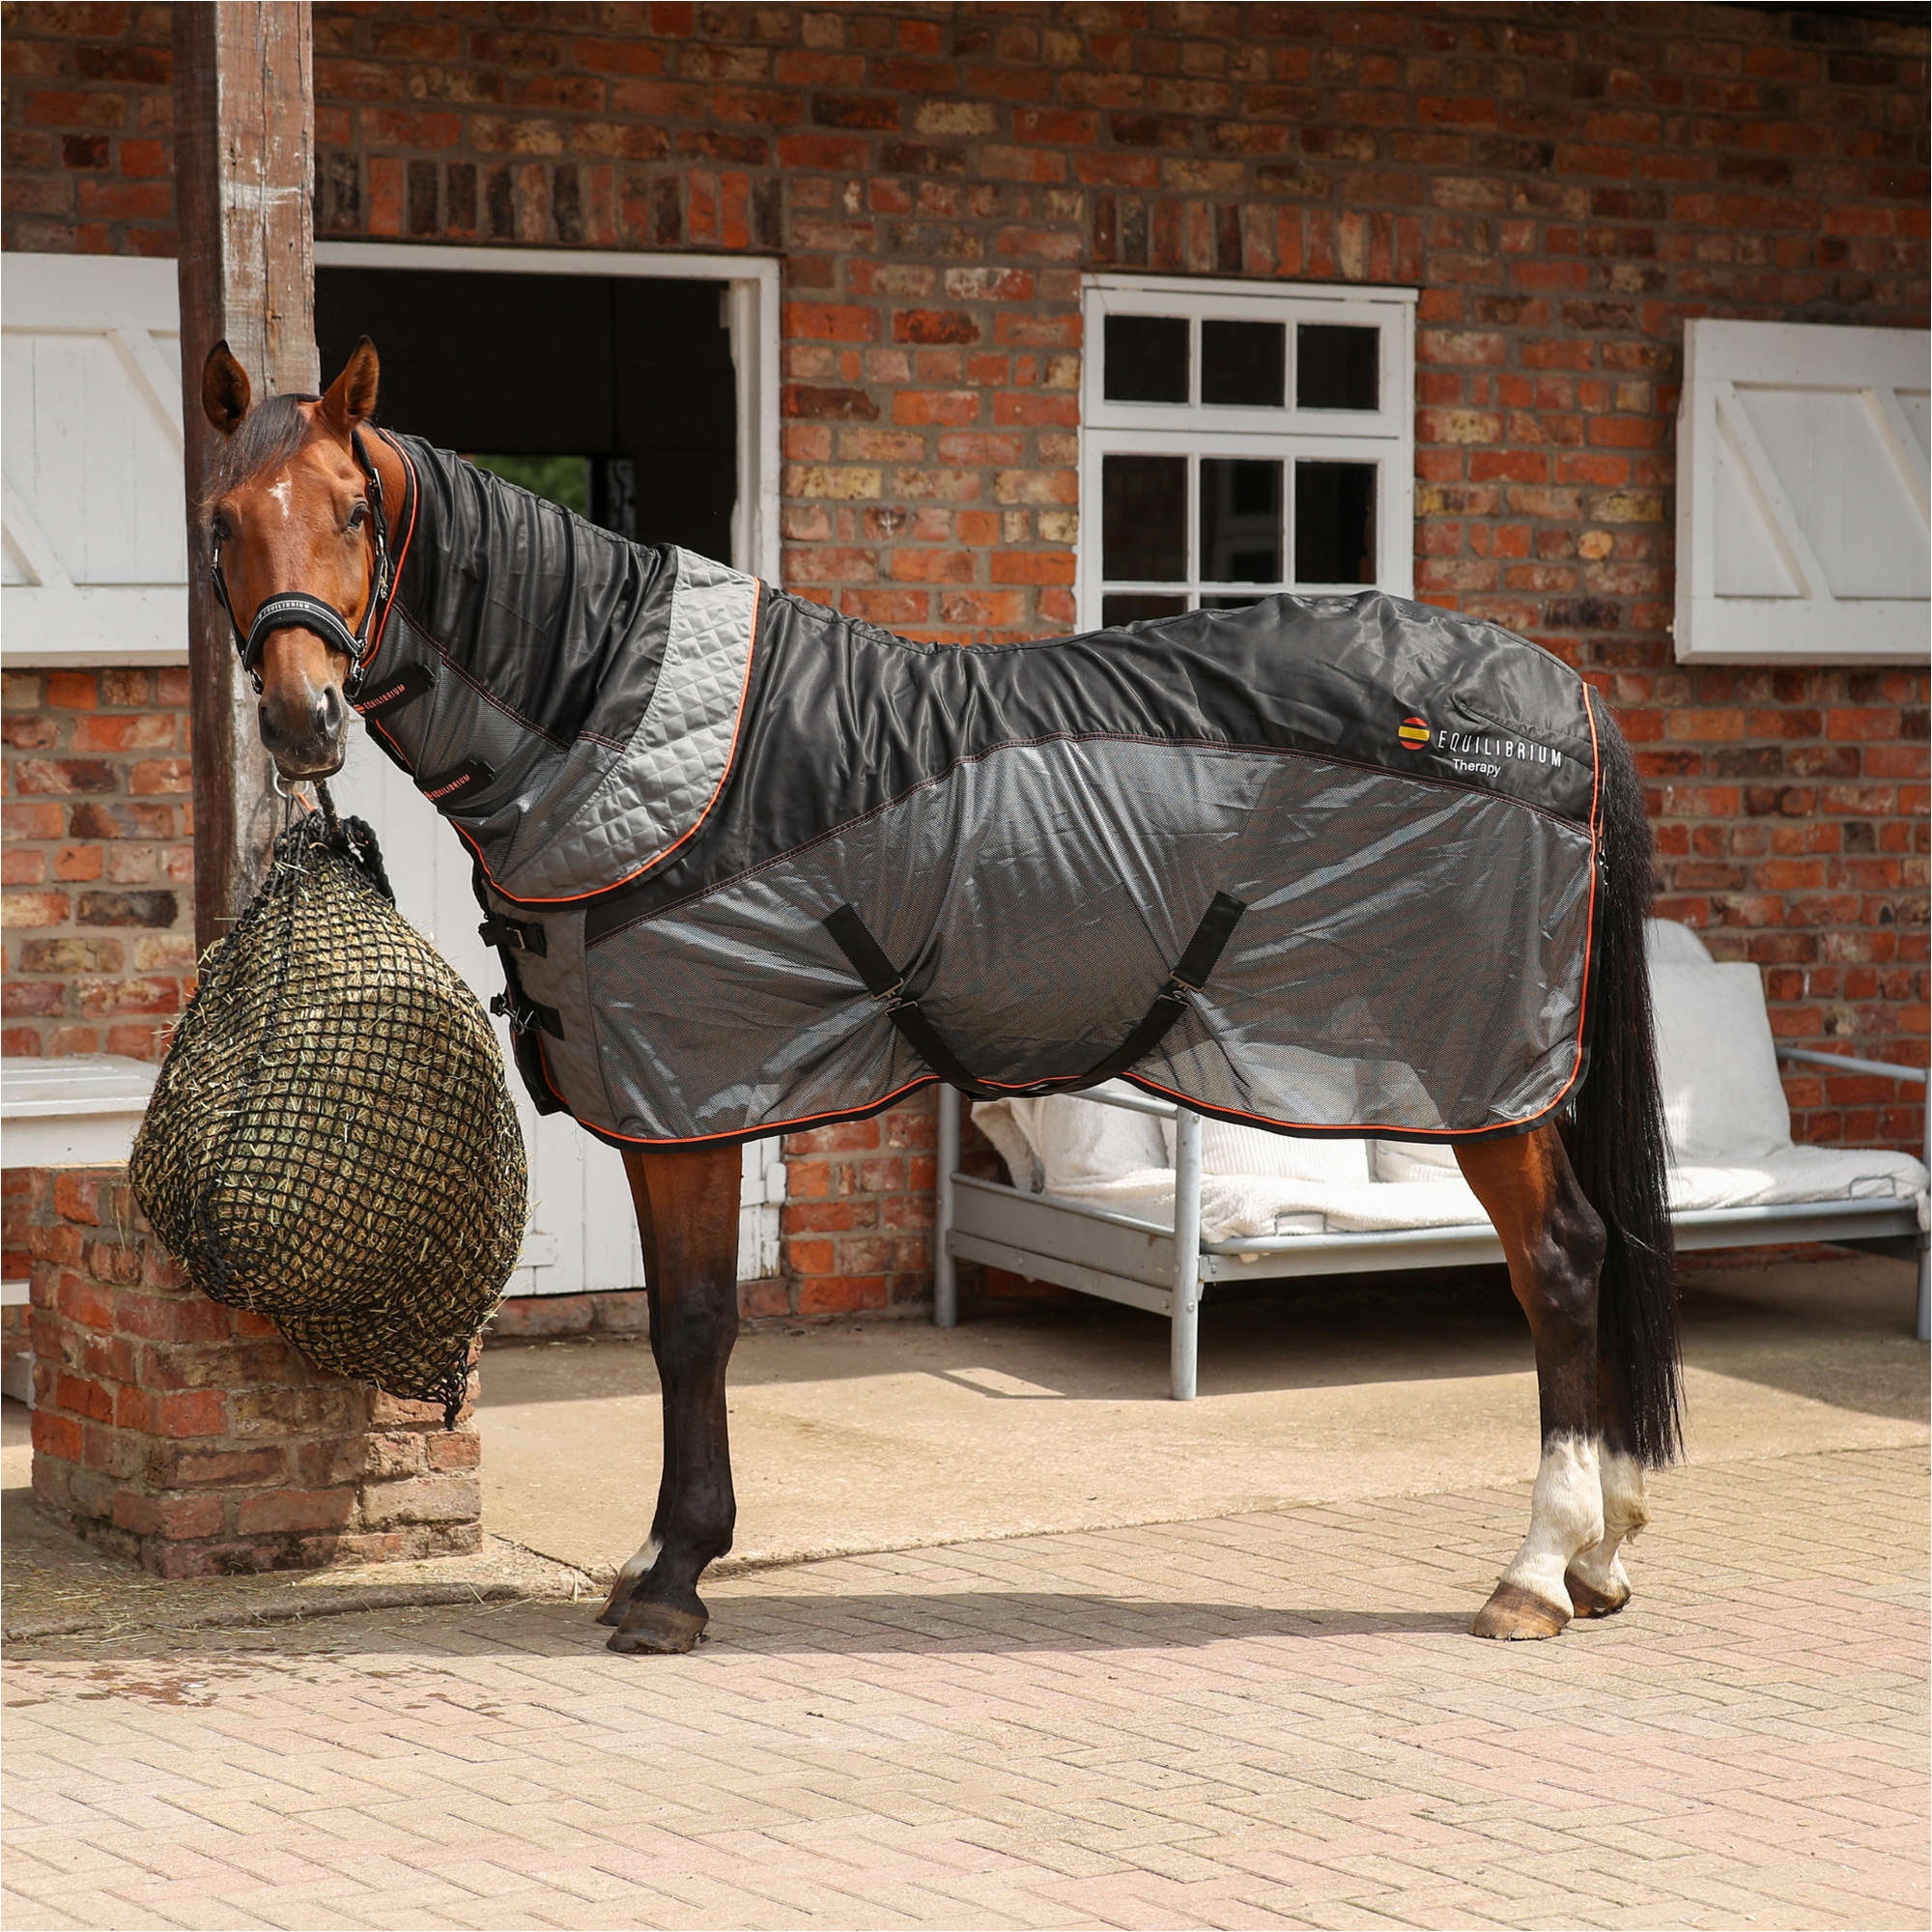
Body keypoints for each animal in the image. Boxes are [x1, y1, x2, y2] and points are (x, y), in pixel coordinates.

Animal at [197, 335, 1680, 1656]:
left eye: (351, 511)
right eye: (221, 522)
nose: (300, 720)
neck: (614, 719)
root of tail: (1557, 693)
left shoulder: (695, 1096)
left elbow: (693, 1327)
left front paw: (674, 1579)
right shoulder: (662, 1106)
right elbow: (682, 1325)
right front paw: (656, 1560)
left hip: (1483, 1072)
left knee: (1560, 1260)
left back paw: (1538, 1569)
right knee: (1596, 1255)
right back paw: (1602, 1554)